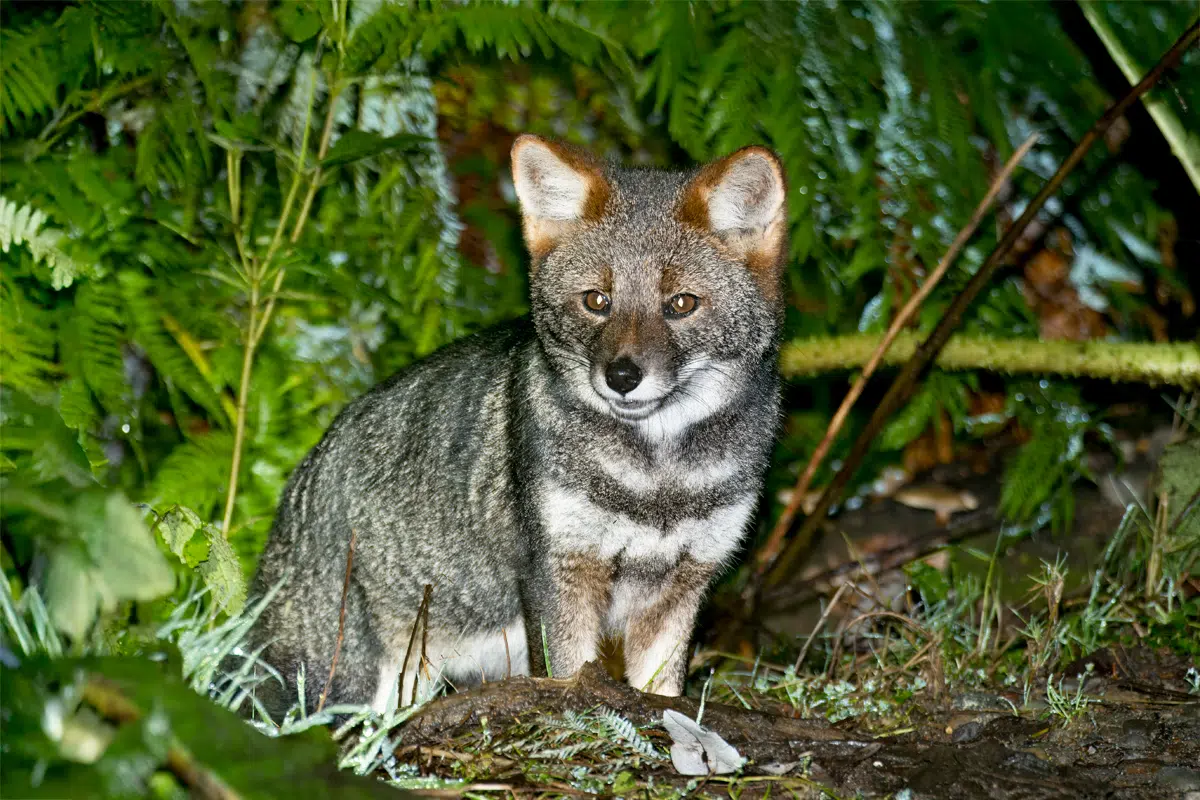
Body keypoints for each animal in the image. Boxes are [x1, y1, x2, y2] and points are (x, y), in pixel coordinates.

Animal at [243, 134, 788, 717]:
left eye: (681, 304)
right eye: (597, 301)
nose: (621, 377)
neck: (658, 481)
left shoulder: (682, 584)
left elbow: (661, 697)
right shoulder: (557, 572)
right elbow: (572, 681)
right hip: (362, 683)